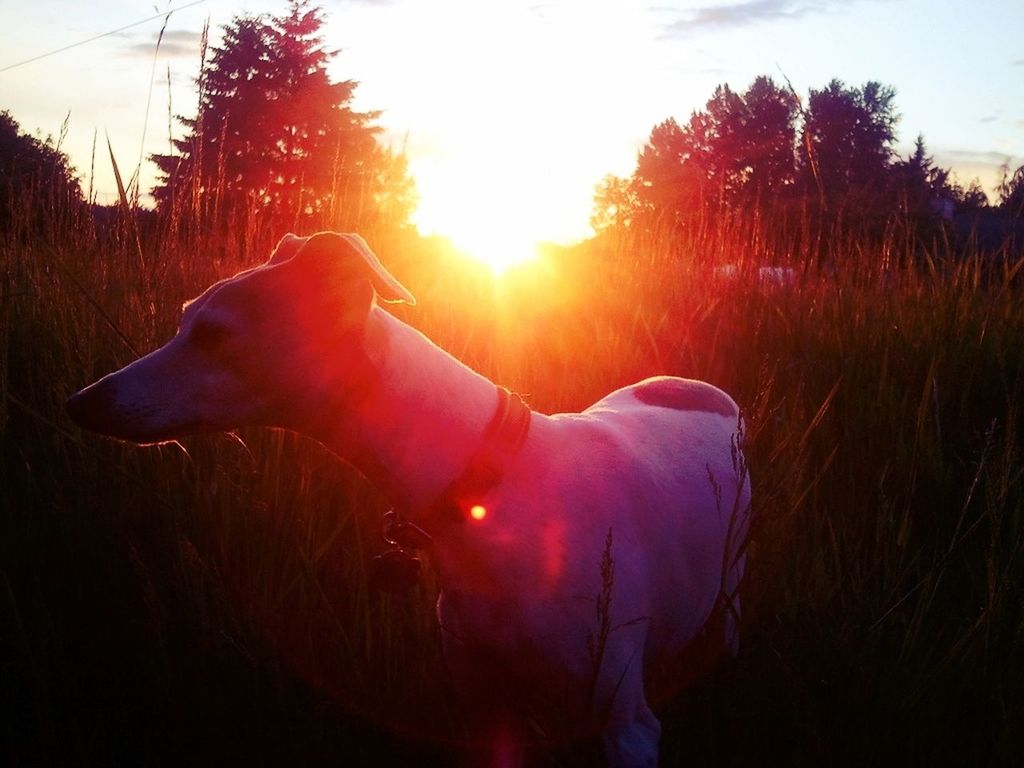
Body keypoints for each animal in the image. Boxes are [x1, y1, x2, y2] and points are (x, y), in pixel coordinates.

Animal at [68, 231, 749, 765]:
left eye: (212, 334)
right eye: (185, 316)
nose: (80, 402)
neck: (495, 489)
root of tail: (702, 387)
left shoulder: (625, 726)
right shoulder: (484, 702)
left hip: (731, 580)